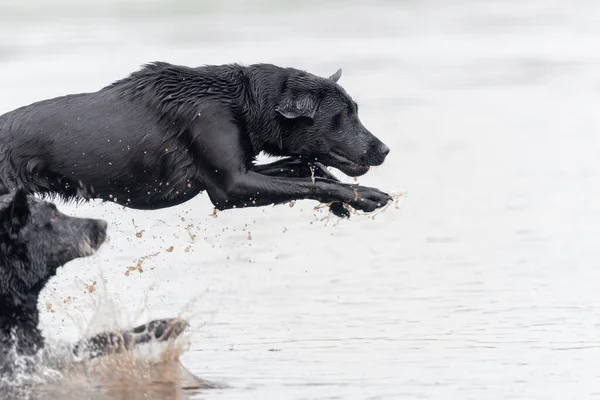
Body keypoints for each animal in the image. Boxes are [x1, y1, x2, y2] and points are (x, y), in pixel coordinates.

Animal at [0, 61, 390, 216]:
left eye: (356, 110)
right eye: (342, 117)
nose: (385, 149)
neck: (241, 100)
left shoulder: (241, 169)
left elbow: (306, 168)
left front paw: (343, 202)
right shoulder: (230, 186)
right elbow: (309, 180)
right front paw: (367, 196)